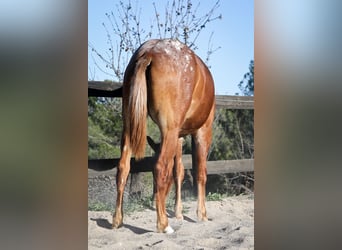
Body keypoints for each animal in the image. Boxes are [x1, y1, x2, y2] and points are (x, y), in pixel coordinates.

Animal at [113, 38, 215, 233]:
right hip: (169, 130)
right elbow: (200, 172)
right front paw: (202, 215)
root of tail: (150, 52)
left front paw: (178, 212)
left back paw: (117, 220)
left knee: (123, 168)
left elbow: (178, 172)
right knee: (160, 167)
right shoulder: (202, 131)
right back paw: (163, 225)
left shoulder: (179, 137)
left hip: (130, 126)